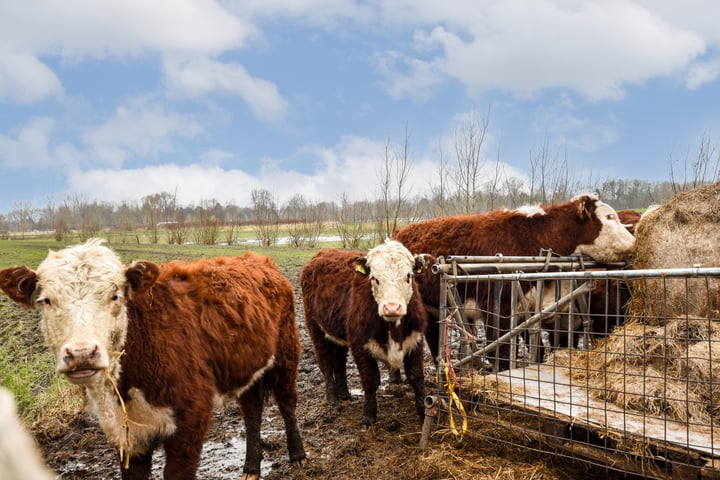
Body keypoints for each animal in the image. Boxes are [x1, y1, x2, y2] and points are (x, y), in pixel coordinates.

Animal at [0, 240, 306, 480]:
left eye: (115, 296)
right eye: (46, 301)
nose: (81, 353)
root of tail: (258, 260)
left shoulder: (190, 419)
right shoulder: (128, 438)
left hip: (287, 354)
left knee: (287, 403)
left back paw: (298, 456)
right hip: (247, 368)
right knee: (252, 412)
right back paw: (251, 468)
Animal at [298, 240, 428, 428]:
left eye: (408, 276)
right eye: (374, 278)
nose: (392, 308)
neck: (393, 328)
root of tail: (322, 253)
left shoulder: (416, 339)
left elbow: (416, 376)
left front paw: (424, 412)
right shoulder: (360, 345)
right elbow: (370, 380)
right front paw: (369, 416)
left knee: (339, 362)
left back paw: (345, 394)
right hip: (315, 328)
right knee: (326, 362)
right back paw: (333, 398)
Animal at [394, 193, 636, 366]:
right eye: (610, 217)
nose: (635, 242)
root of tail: (402, 231)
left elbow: (539, 352)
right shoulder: (497, 310)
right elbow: (500, 356)